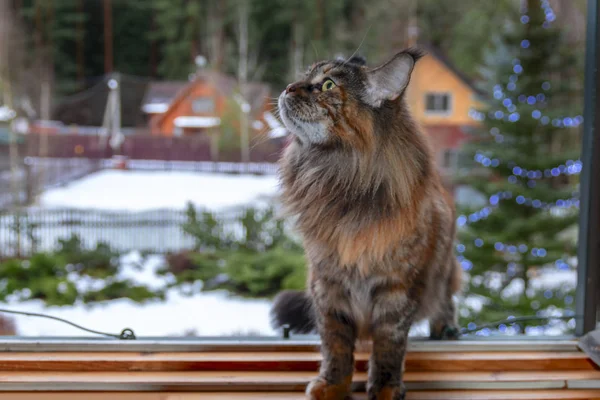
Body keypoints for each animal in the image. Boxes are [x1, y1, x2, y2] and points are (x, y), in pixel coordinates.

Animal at [270, 49, 462, 400]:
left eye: (327, 85)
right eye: (305, 77)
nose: (289, 87)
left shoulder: (397, 290)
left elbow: (388, 348)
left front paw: (385, 388)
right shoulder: (328, 286)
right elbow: (336, 347)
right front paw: (333, 385)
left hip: (445, 270)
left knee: (446, 302)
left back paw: (446, 329)